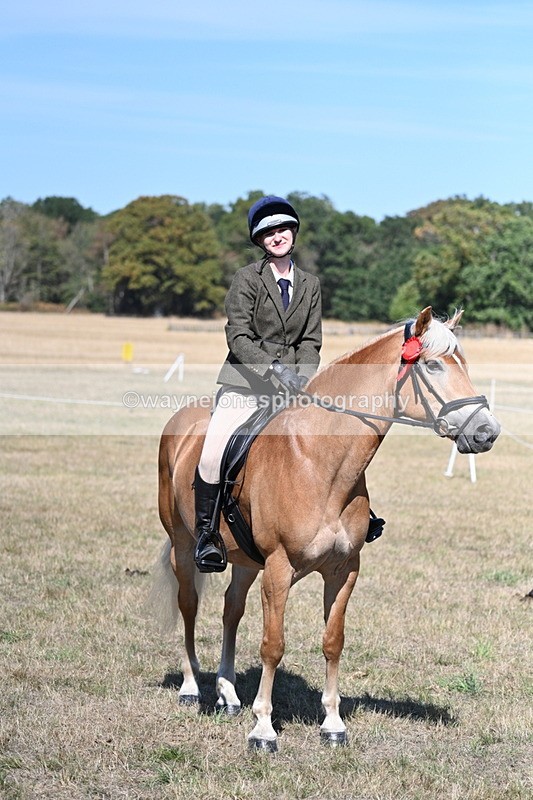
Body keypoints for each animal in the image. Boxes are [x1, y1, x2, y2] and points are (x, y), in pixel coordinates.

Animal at [154, 307, 500, 751]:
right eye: (434, 365)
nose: (487, 432)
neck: (319, 460)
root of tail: (180, 419)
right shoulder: (279, 569)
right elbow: (273, 645)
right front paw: (263, 729)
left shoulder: (343, 570)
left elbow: (333, 642)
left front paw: (333, 724)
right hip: (183, 544)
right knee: (189, 605)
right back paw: (191, 688)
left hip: (246, 560)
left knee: (232, 610)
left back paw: (227, 694)